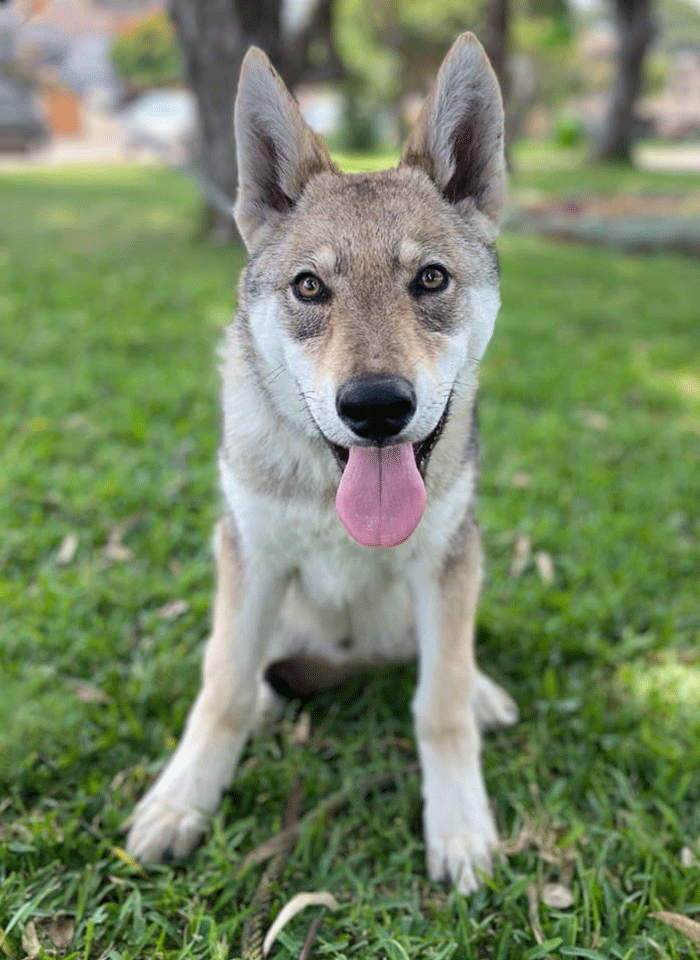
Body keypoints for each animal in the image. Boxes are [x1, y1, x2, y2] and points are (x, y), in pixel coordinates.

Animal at [127, 30, 520, 892]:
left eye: (430, 279)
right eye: (310, 288)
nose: (374, 407)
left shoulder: (446, 560)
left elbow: (438, 703)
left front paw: (460, 827)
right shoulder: (252, 555)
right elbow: (221, 687)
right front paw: (180, 803)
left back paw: (481, 691)